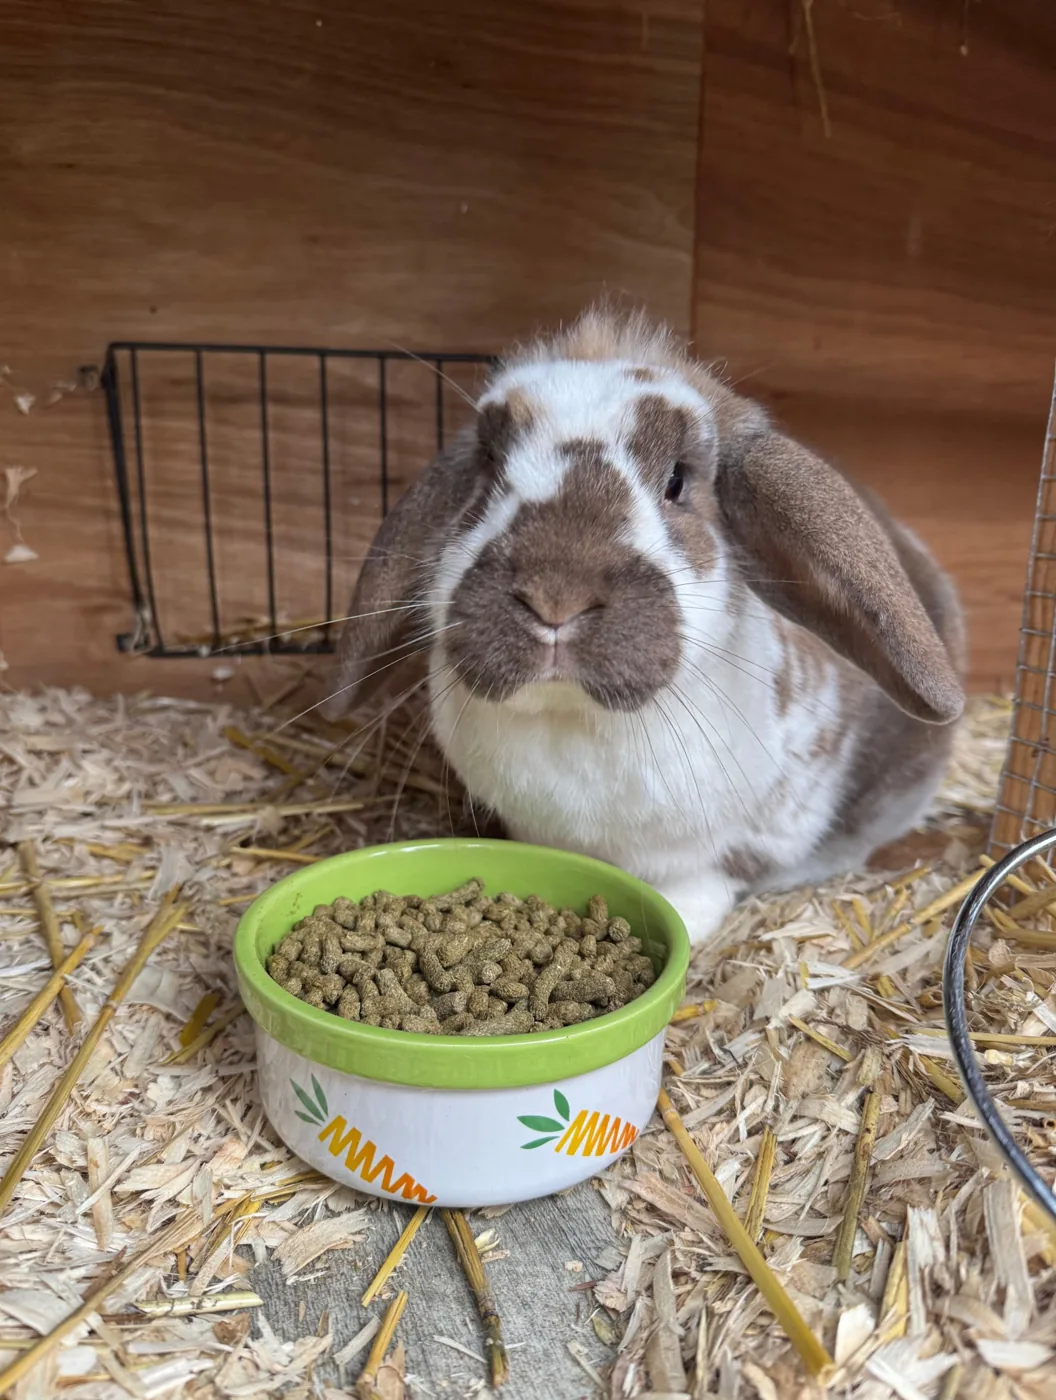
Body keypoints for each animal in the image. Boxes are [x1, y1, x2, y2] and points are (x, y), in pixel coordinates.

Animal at [325, 308, 966, 944]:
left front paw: (683, 919)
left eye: (678, 481)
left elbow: (711, 879)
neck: (573, 721)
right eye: (489, 468)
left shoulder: (768, 824)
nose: (555, 599)